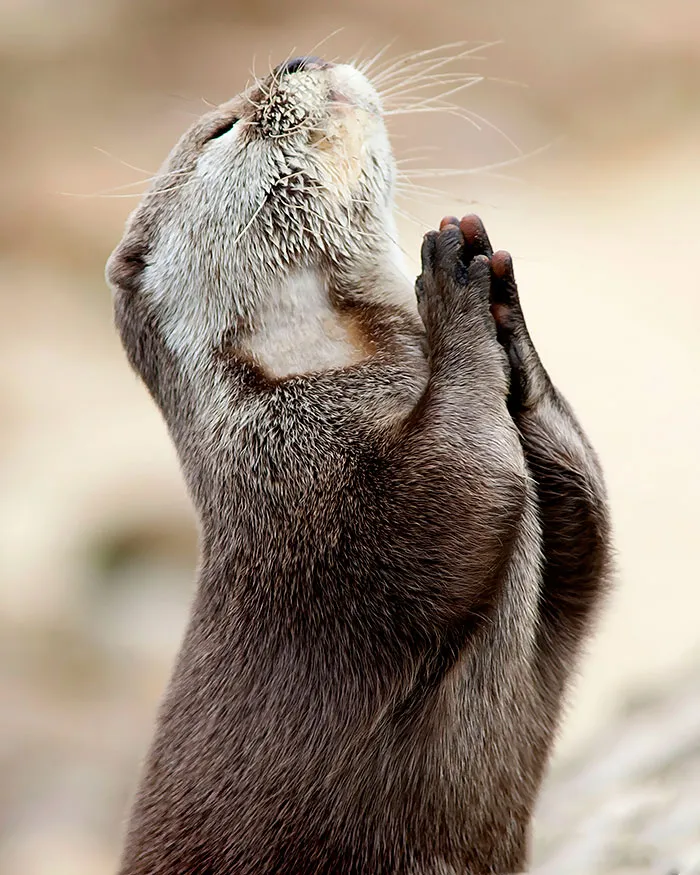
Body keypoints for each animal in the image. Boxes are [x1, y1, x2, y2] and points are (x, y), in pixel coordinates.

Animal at [106, 55, 611, 875]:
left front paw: (502, 304)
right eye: (223, 128)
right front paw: (451, 285)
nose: (296, 60)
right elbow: (459, 489)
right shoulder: (309, 493)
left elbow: (586, 528)